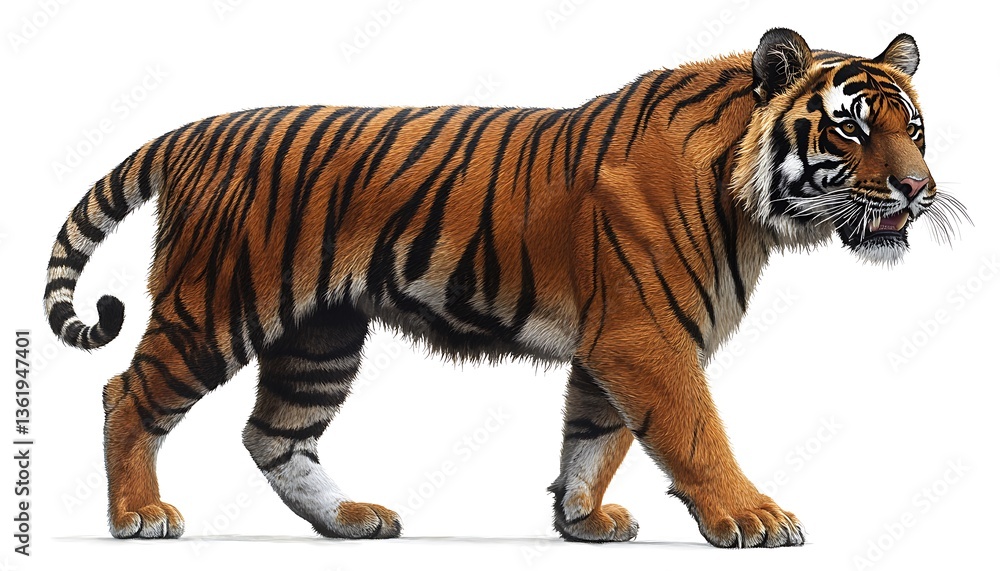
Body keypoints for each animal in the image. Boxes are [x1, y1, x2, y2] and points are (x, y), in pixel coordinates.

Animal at [42, 28, 965, 547]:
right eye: (851, 128)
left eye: (914, 128)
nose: (920, 190)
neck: (748, 201)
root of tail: (197, 129)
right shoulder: (647, 337)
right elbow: (694, 433)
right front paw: (752, 518)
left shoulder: (612, 343)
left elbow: (594, 437)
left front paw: (584, 520)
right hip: (215, 307)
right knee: (127, 393)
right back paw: (139, 515)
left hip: (320, 338)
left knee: (274, 435)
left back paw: (351, 520)